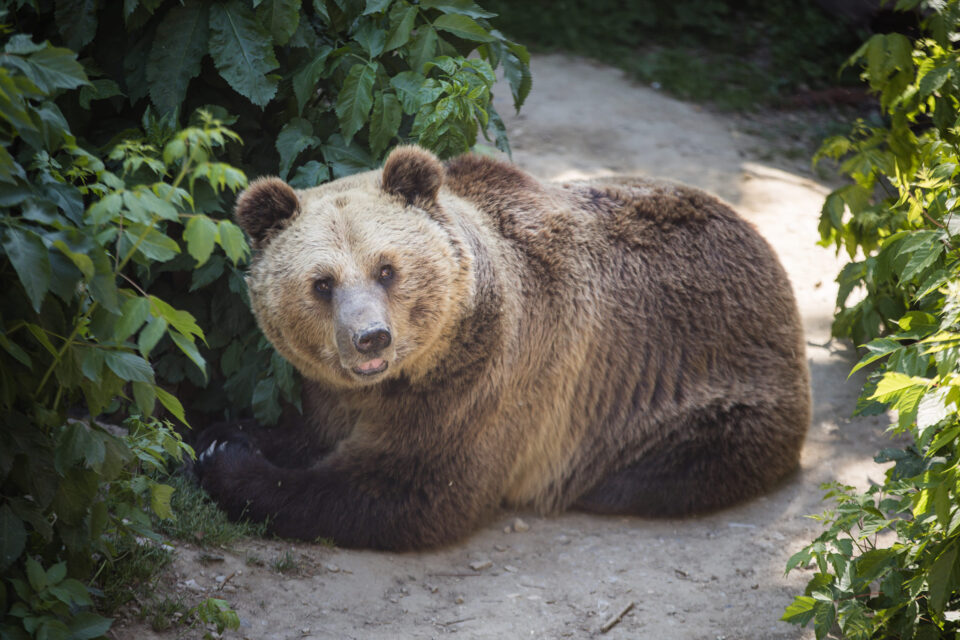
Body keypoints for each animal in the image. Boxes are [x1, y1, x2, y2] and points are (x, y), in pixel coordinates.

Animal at [195, 145, 808, 552]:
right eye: (322, 283)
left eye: (386, 268)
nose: (371, 336)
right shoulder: (338, 390)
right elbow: (313, 430)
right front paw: (221, 434)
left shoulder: (486, 382)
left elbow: (408, 492)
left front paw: (231, 466)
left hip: (707, 382)